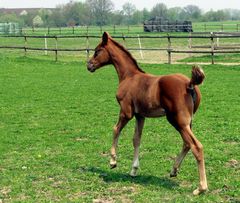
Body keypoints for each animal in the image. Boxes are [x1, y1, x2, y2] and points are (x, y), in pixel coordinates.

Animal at [86, 32, 208, 195]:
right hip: (187, 122)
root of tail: (190, 84)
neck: (129, 76)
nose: (89, 65)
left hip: (178, 121)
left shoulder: (126, 112)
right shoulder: (140, 115)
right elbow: (136, 139)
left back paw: (201, 188)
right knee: (187, 143)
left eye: (97, 50)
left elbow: (115, 129)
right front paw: (133, 170)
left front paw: (112, 161)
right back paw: (174, 170)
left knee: (196, 146)